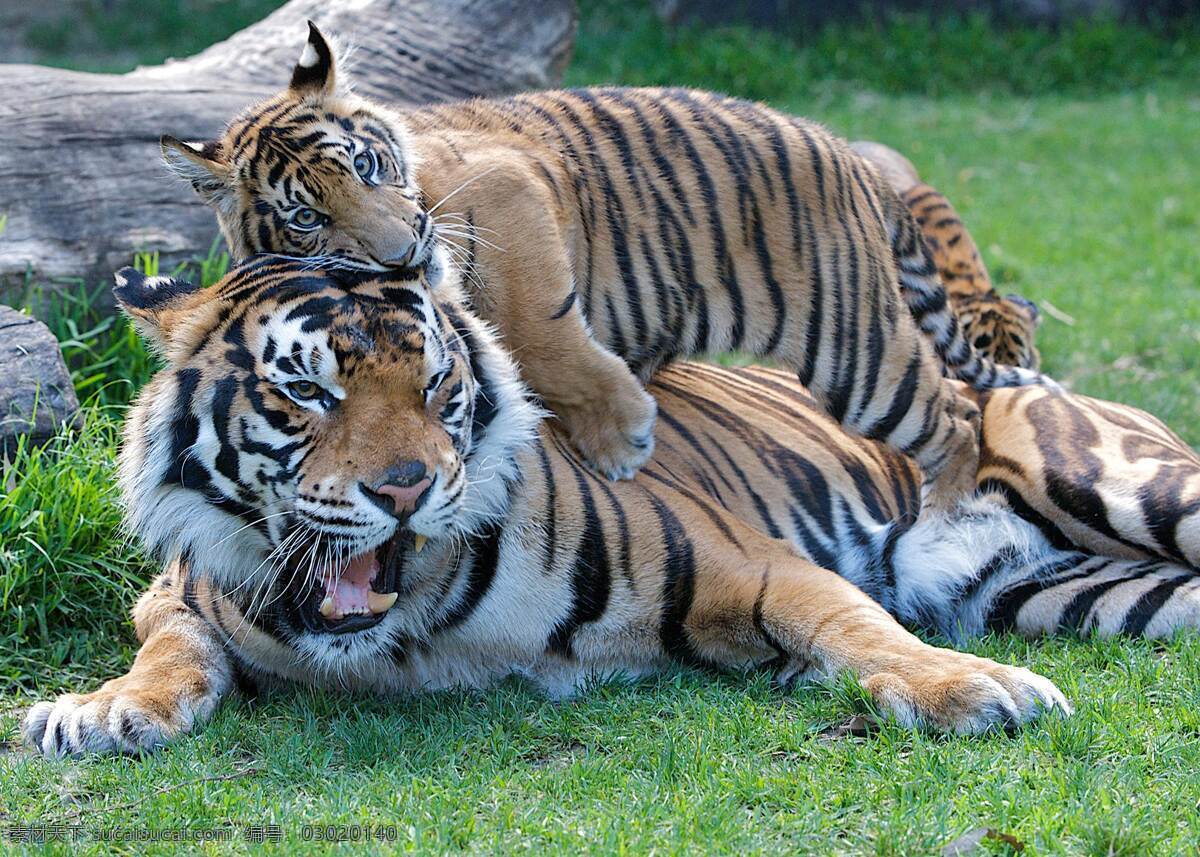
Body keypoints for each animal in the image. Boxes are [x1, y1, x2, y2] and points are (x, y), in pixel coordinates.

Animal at [23, 256, 1200, 758]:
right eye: (308, 390)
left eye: (437, 386)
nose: (406, 487)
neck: (414, 636)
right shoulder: (174, 591)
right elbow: (169, 649)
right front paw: (100, 708)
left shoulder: (760, 563)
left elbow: (866, 629)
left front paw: (973, 689)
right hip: (1076, 590)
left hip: (1129, 486)